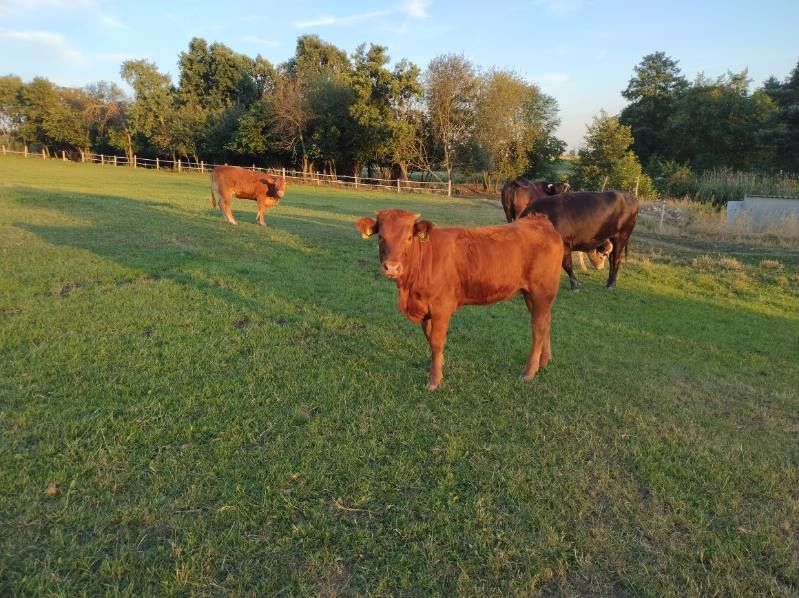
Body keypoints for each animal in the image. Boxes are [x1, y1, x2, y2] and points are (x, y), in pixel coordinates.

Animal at [356, 209, 564, 392]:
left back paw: (529, 371)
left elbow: (437, 341)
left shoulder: (441, 307)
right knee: (546, 322)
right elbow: (429, 337)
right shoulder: (425, 308)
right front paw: (439, 364)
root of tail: (539, 221)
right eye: (381, 237)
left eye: (408, 237)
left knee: (538, 327)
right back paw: (544, 361)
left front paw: (434, 380)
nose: (392, 267)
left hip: (541, 291)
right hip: (532, 295)